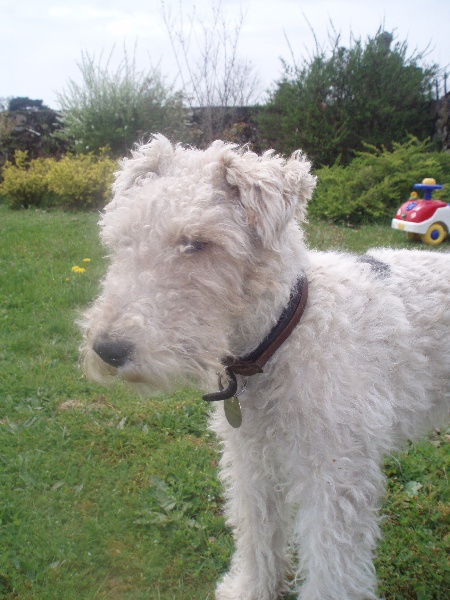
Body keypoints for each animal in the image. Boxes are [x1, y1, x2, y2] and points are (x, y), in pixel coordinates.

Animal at [80, 135, 450, 599]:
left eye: (197, 242)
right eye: (122, 239)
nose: (108, 350)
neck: (283, 335)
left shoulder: (334, 475)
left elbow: (331, 568)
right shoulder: (252, 459)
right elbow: (259, 532)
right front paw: (251, 588)